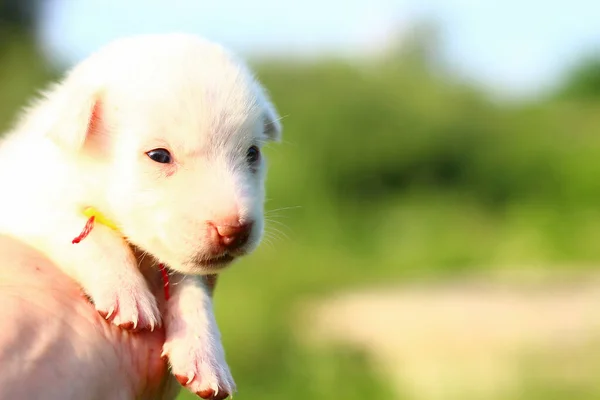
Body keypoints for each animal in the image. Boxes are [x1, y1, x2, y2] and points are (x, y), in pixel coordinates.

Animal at [0, 34, 282, 400]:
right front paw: (126, 290)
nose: (235, 230)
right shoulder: (25, 200)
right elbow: (87, 229)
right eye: (159, 155)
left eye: (252, 153)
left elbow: (192, 289)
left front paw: (204, 353)